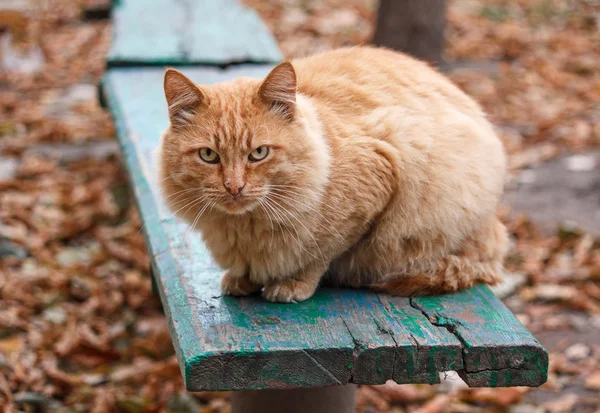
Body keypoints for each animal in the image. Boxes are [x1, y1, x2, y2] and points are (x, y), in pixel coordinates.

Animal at [159, 46, 506, 302]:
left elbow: (319, 254)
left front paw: (292, 284)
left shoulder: (378, 174)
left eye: (259, 153)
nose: (234, 187)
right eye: (209, 156)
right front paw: (242, 279)